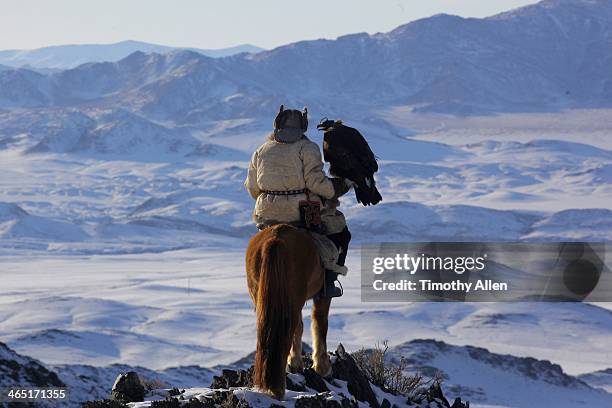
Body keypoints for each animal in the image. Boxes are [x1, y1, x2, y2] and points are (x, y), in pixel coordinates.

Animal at [245, 223, 334, 398]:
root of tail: (275, 239)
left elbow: (300, 327)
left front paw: (295, 363)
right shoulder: (323, 294)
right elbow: (320, 323)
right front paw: (322, 367)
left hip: (263, 296)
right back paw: (277, 389)